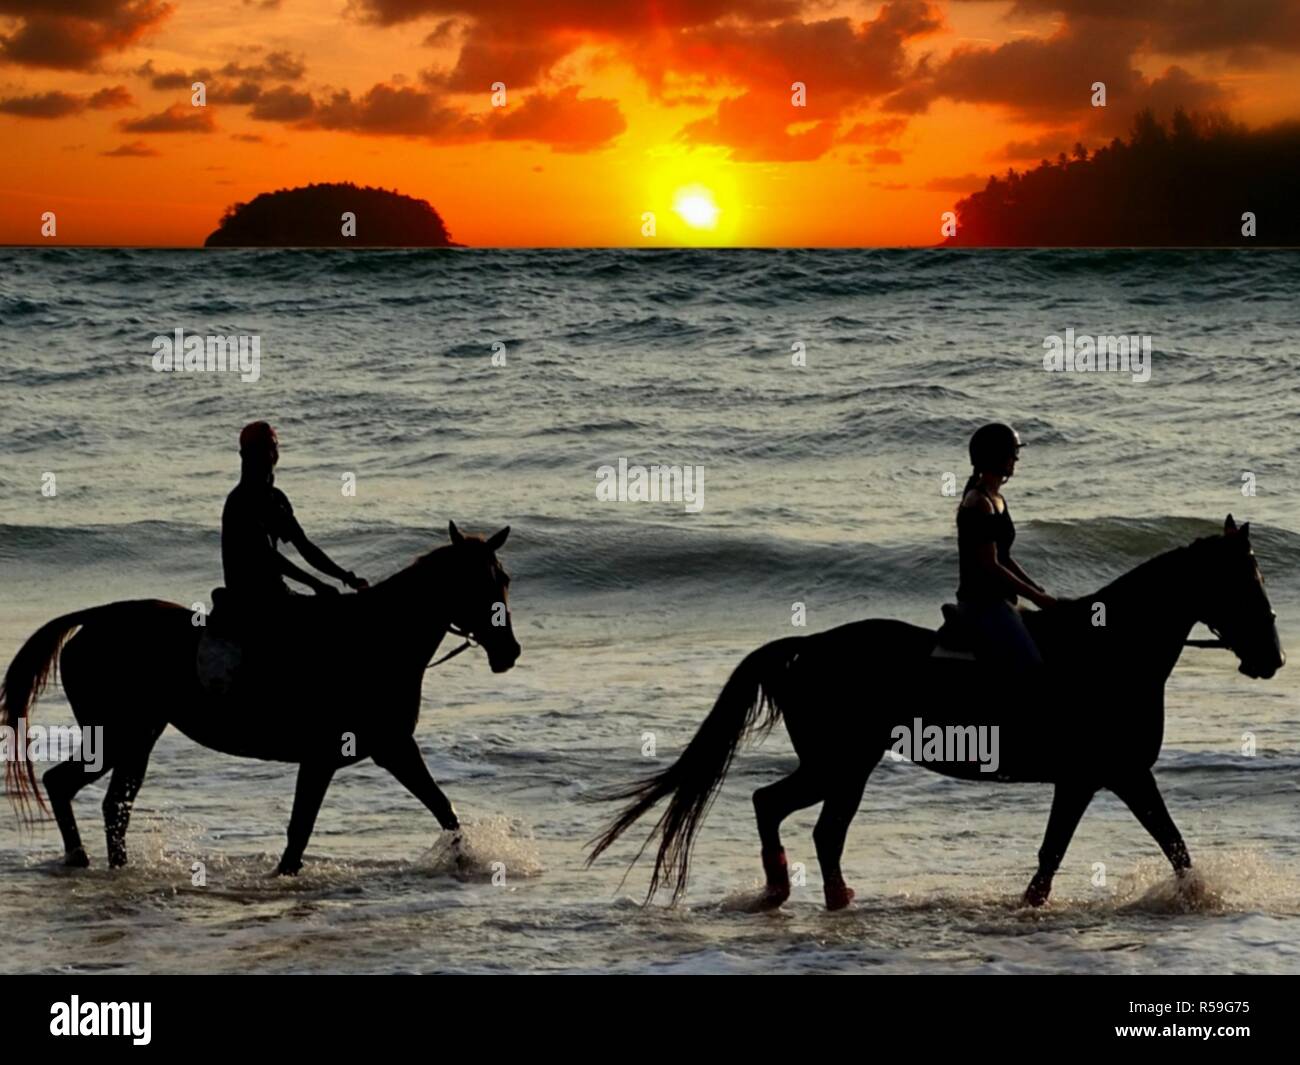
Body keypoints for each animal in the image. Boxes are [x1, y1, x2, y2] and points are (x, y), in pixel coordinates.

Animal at [0, 517, 517, 873]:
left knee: (109, 804)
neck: (373, 639)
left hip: (136, 736)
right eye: (475, 583)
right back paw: (82, 859)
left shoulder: (386, 749)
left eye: (504, 580)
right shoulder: (347, 753)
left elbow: (441, 807)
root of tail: (93, 619)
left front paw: (468, 857)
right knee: (69, 786)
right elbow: (302, 827)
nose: (509, 652)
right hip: (118, 735)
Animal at [595, 517, 1284, 910]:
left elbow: (1087, 852)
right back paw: (788, 891)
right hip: (842, 762)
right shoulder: (1107, 775)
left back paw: (825, 896)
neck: (1111, 651)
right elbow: (1152, 845)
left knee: (815, 827)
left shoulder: (1096, 779)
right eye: (1244, 581)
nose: (1273, 658)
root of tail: (806, 646)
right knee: (785, 810)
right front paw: (1199, 897)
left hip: (845, 765)